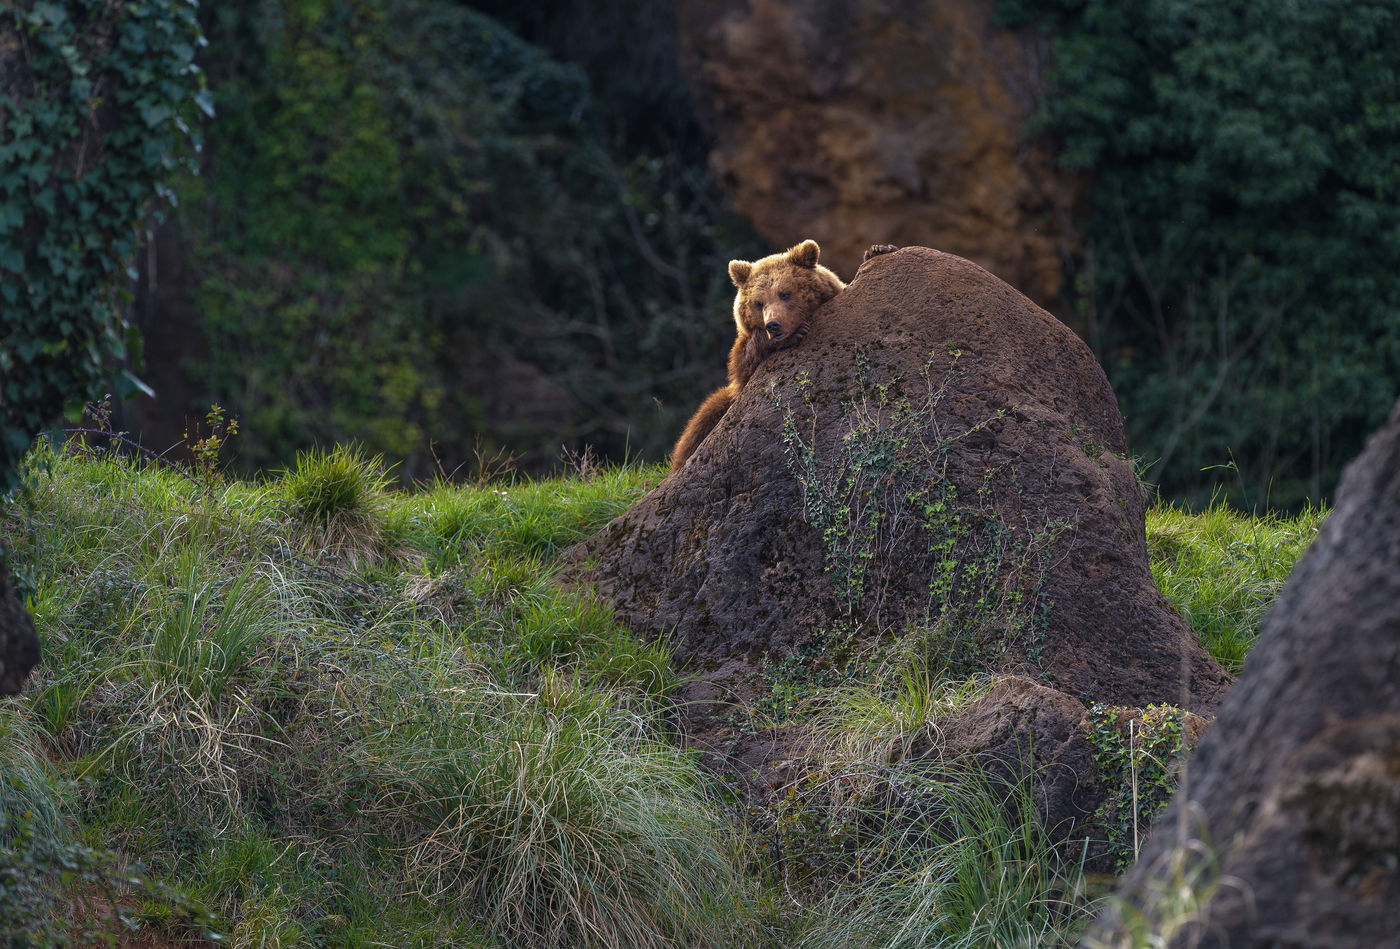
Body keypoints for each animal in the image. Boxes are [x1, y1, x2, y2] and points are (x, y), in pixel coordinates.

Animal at [666, 242, 840, 473]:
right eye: (759, 303)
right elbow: (745, 362)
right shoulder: (741, 364)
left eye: (785, 293)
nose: (773, 325)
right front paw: (794, 334)